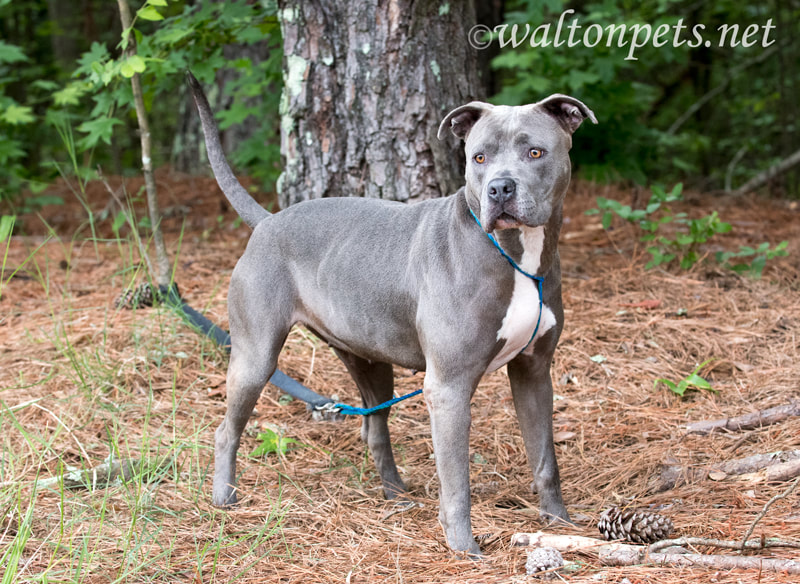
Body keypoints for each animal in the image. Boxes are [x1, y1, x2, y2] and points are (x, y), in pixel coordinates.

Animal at [189, 70, 592, 556]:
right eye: (478, 157)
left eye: (535, 152)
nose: (499, 188)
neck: (514, 255)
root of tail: (268, 221)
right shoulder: (448, 387)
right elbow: (456, 481)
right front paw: (464, 548)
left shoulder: (534, 372)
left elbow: (545, 459)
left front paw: (560, 524)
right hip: (254, 358)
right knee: (226, 429)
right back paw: (223, 499)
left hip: (369, 360)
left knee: (376, 427)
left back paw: (395, 494)